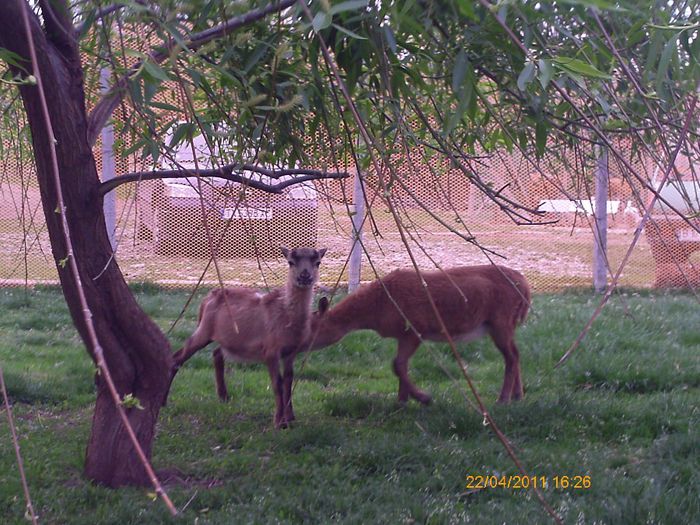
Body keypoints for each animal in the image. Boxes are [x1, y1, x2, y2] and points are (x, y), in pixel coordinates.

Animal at [175, 246, 328, 426]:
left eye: (317, 262)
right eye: (291, 262)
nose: (304, 276)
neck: (287, 321)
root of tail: (207, 298)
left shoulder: (292, 351)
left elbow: (288, 381)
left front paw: (291, 418)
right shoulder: (270, 349)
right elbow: (277, 383)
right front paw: (279, 422)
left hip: (229, 339)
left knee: (216, 353)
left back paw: (224, 396)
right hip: (204, 329)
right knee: (179, 356)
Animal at [300, 266, 532, 406]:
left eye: (310, 328)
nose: (297, 346)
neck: (378, 306)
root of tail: (526, 286)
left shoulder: (415, 327)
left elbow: (397, 365)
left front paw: (422, 398)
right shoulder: (402, 334)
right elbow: (400, 364)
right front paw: (402, 400)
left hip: (501, 320)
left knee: (511, 356)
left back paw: (503, 399)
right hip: (504, 324)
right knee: (516, 353)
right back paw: (518, 395)